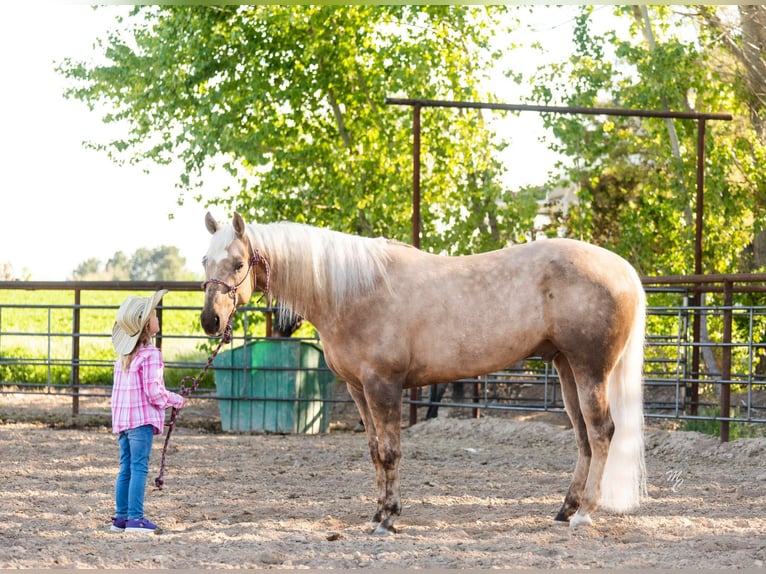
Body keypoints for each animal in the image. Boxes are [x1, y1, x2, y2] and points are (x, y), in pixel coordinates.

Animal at [201, 212, 644, 536]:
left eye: (238, 263)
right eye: (205, 260)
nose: (210, 320)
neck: (354, 292)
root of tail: (623, 269)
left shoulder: (384, 385)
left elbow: (391, 451)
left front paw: (389, 519)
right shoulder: (358, 389)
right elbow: (375, 452)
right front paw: (377, 513)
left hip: (590, 369)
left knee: (601, 432)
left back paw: (584, 514)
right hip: (566, 368)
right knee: (583, 437)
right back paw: (565, 510)